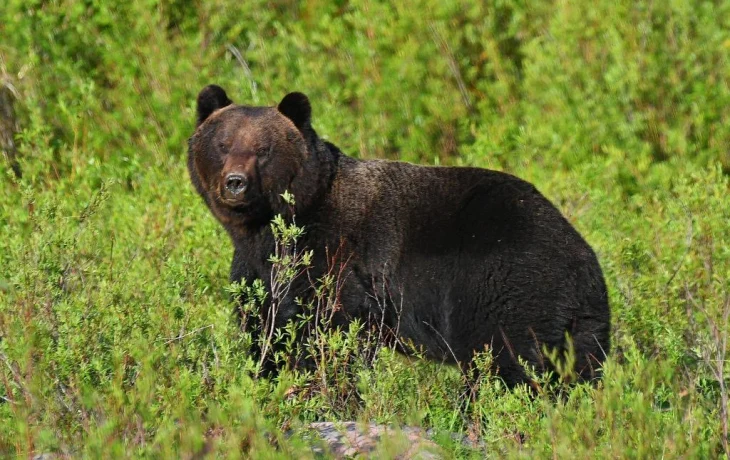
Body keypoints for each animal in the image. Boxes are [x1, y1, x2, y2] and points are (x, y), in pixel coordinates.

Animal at [188, 84, 611, 388]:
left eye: (263, 149)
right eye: (223, 144)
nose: (235, 183)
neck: (274, 225)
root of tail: (581, 256)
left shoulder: (338, 255)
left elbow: (331, 327)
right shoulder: (254, 269)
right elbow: (264, 326)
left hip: (504, 282)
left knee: (505, 360)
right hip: (581, 319)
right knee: (581, 366)